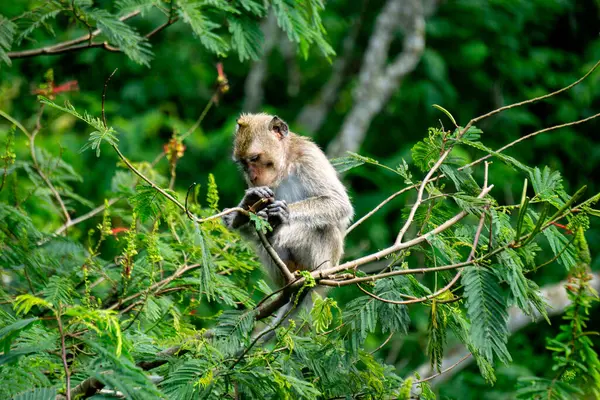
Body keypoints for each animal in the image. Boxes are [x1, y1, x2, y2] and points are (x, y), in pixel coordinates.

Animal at [221, 113, 352, 338]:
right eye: (243, 163)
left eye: (254, 158)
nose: (252, 176)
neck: (286, 164)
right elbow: (248, 224)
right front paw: (247, 203)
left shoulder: (309, 159)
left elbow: (338, 203)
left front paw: (283, 213)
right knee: (262, 240)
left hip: (325, 262)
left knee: (323, 227)